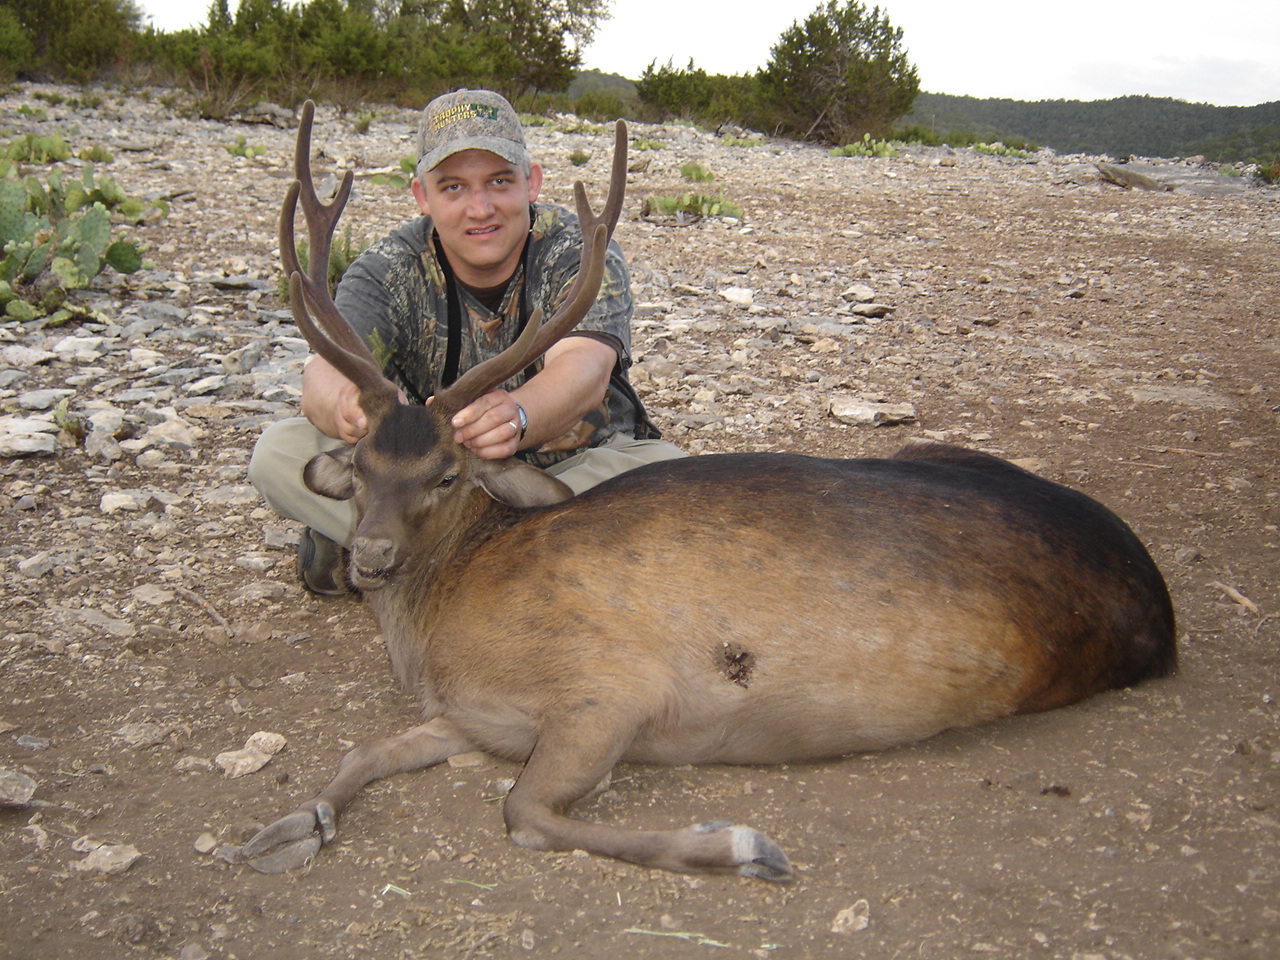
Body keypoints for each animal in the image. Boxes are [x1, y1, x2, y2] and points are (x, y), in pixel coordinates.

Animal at [223, 101, 1177, 880]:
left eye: (447, 472)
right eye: (359, 465)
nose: (371, 559)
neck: (440, 635)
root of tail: (1162, 606)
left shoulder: (611, 688)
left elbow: (524, 812)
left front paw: (743, 845)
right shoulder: (463, 717)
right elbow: (356, 757)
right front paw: (285, 827)